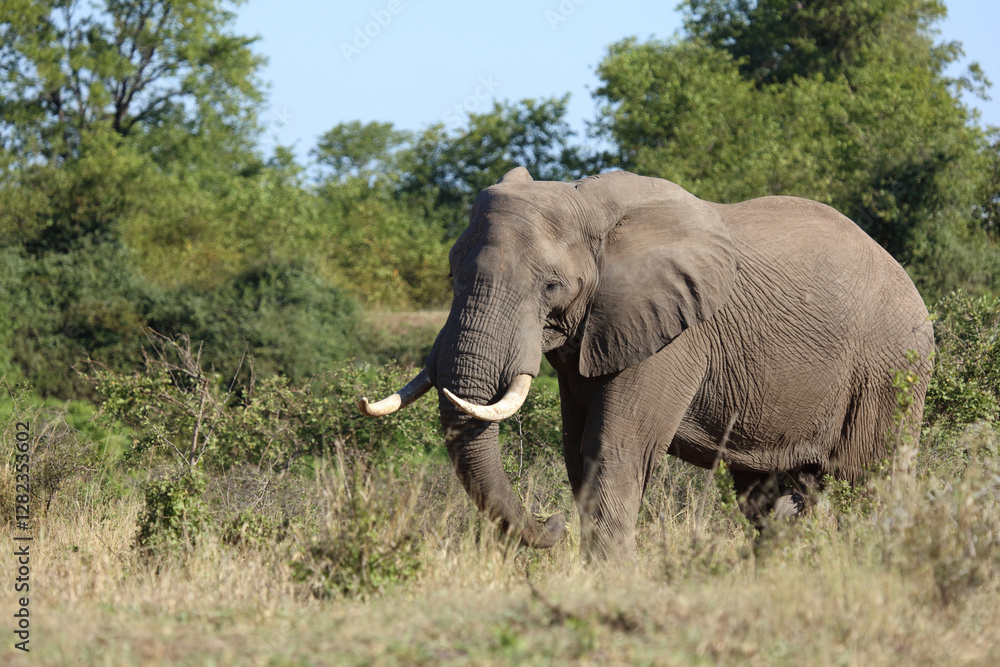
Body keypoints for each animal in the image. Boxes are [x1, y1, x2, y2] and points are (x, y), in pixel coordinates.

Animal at [359, 167, 934, 559]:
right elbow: (578, 452)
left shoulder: (675, 334)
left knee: (867, 477)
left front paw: (609, 580)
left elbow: (615, 450)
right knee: (766, 496)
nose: (549, 523)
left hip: (889, 365)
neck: (589, 205)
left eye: (551, 286)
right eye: (451, 273)